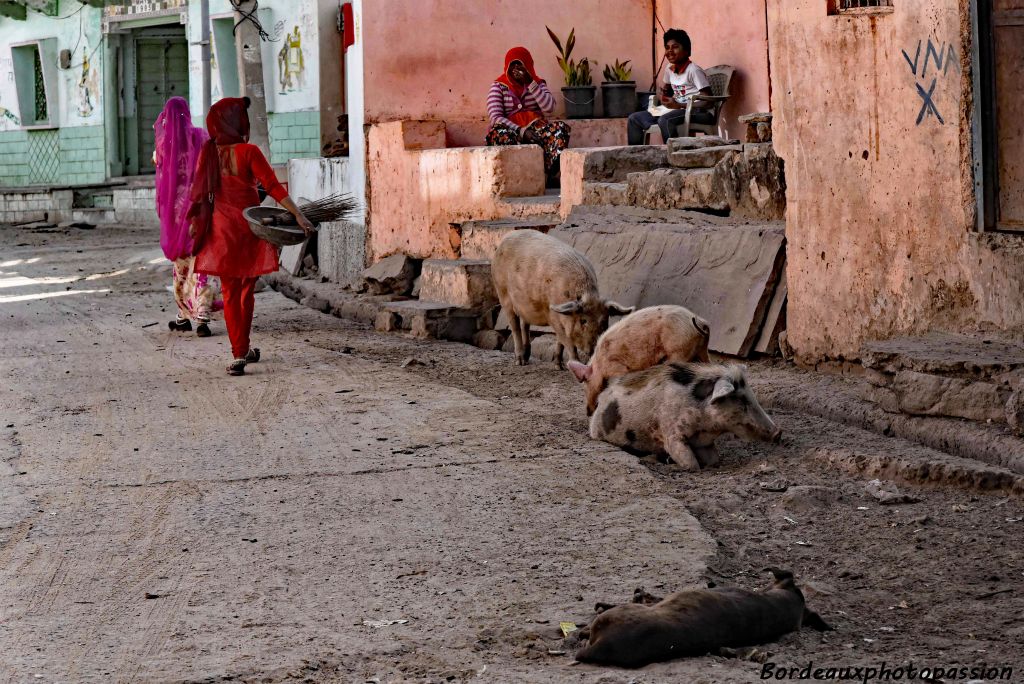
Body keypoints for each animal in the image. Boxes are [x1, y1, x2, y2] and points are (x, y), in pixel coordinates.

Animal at [489, 229, 630, 368]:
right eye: (583, 321)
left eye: (604, 321)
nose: (595, 349)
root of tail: (504, 239)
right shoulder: (552, 315)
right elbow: (567, 341)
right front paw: (571, 365)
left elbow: (560, 340)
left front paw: (559, 366)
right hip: (502, 293)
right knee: (514, 326)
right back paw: (520, 362)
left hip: (524, 303)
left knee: (525, 324)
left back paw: (527, 358)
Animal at [589, 362, 778, 471]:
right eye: (742, 399)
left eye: (751, 396)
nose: (778, 432)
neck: (706, 426)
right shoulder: (671, 433)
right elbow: (691, 464)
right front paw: (675, 466)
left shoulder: (704, 442)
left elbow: (714, 460)